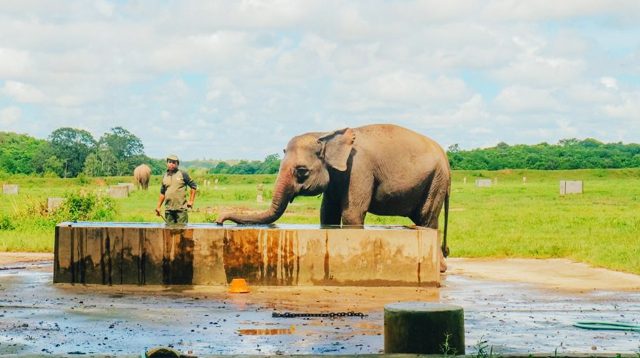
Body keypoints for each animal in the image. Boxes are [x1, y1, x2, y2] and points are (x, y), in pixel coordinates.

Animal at [218, 124, 452, 272]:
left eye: (301, 171)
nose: (218, 221)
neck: (326, 134)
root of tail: (446, 160)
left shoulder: (359, 169)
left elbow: (351, 214)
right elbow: (327, 213)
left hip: (435, 181)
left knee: (427, 219)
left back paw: (439, 269)